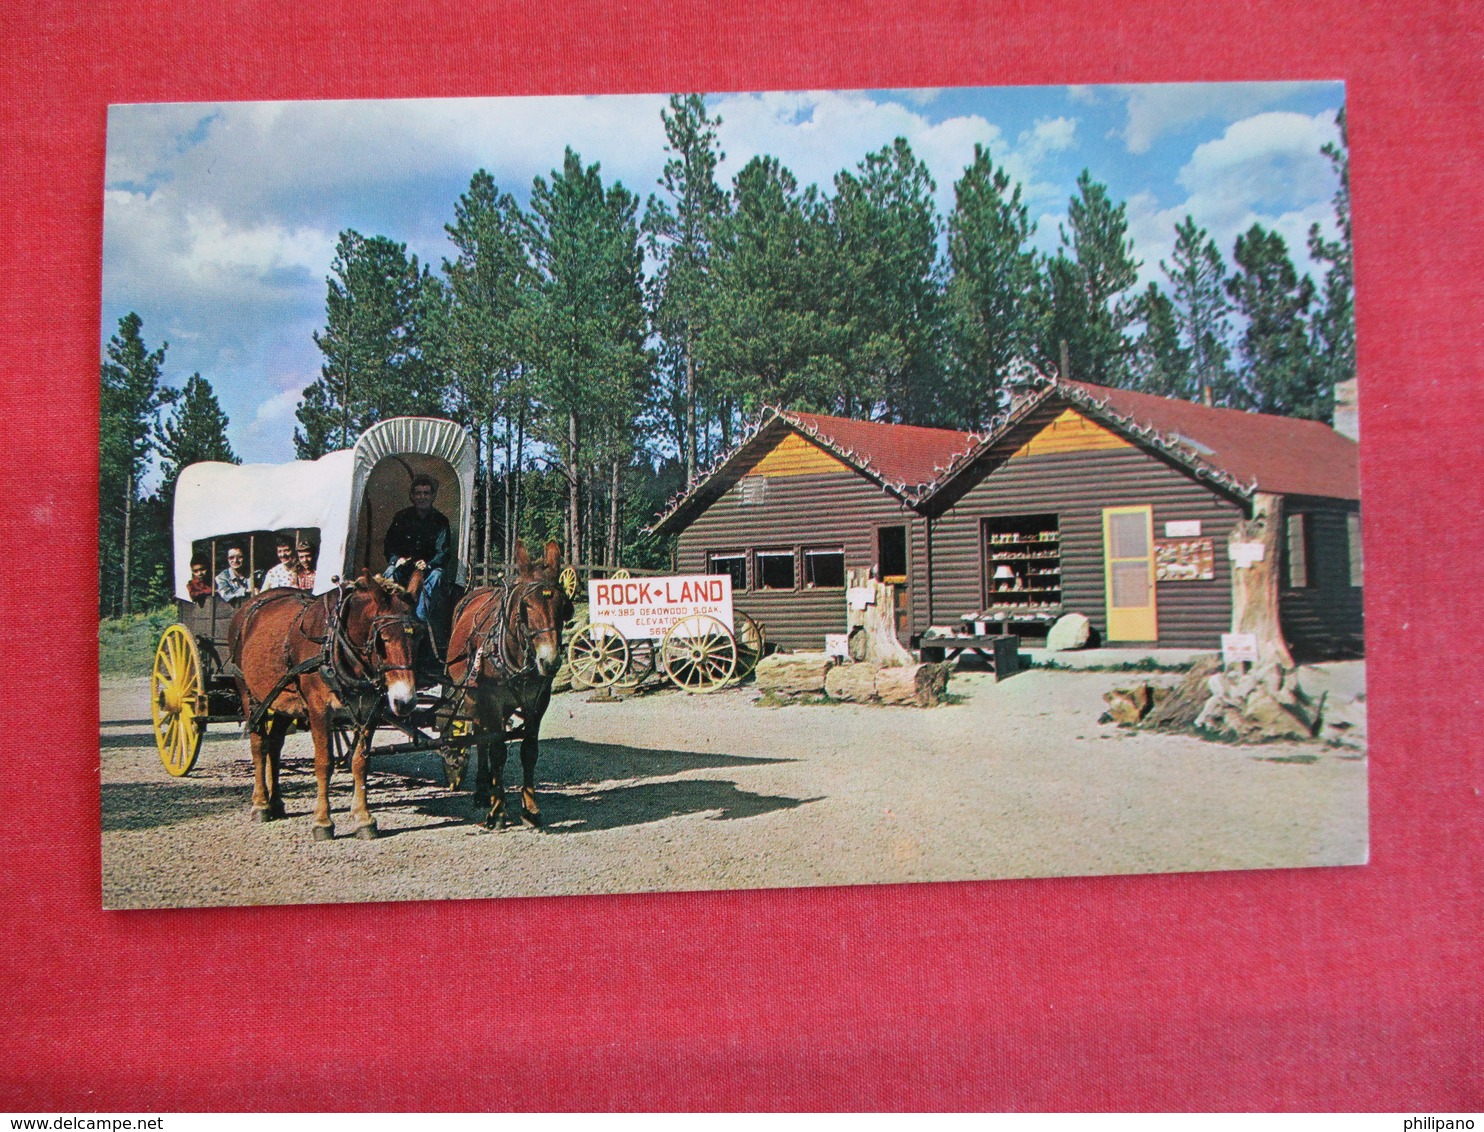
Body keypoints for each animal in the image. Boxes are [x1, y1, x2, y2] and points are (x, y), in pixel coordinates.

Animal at [227, 569, 424, 836]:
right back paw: (260, 804)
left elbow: (360, 762)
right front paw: (322, 820)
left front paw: (363, 817)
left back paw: (276, 802)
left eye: (418, 637)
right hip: (250, 694)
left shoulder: (369, 711)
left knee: (275, 746)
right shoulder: (319, 710)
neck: (337, 644)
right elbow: (324, 763)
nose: (405, 701)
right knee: (259, 746)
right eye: (382, 638)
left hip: (282, 701)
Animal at [442, 545, 569, 830]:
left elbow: (529, 752)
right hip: (473, 696)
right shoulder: (491, 700)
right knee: (481, 739)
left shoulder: (538, 703)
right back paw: (483, 790)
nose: (550, 661)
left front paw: (530, 808)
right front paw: (498, 810)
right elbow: (498, 751)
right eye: (526, 606)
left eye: (562, 605)